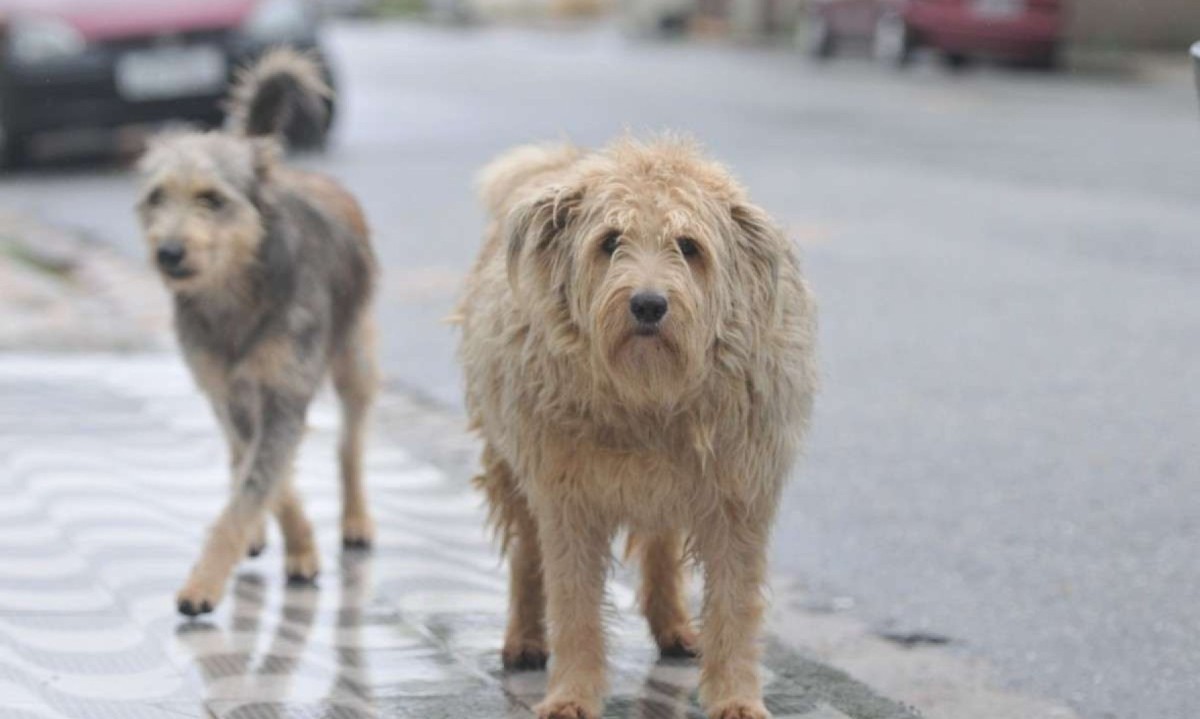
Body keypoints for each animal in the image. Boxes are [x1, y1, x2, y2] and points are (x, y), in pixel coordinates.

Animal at [135, 49, 379, 619]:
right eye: (156, 197)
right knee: (238, 451)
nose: (168, 253)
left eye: (211, 198)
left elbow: (257, 485)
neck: (237, 291)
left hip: (354, 356)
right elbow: (265, 480)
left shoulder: (285, 391)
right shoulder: (233, 395)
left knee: (350, 445)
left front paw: (204, 582)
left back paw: (355, 520)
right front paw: (298, 543)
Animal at [456, 136, 816, 719]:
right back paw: (525, 637)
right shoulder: (568, 499)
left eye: (688, 246)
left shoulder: (738, 499)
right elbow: (574, 604)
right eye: (610, 242)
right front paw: (572, 694)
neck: (648, 396)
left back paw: (674, 627)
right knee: (527, 553)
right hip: (510, 461)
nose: (648, 304)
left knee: (661, 547)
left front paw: (736, 697)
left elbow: (734, 606)